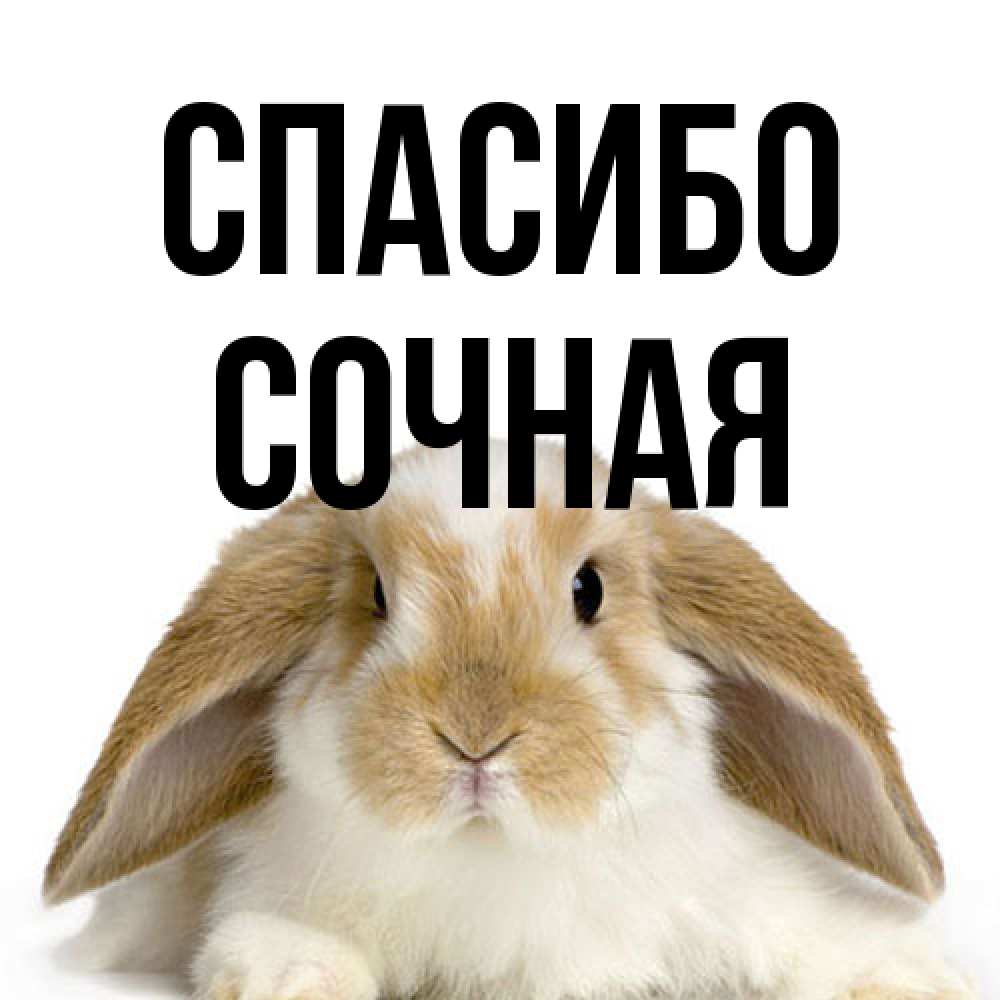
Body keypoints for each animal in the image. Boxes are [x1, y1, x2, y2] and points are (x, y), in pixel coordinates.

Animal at [45, 441, 975, 1000]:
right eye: (376, 596)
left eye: (589, 590)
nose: (475, 736)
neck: (495, 857)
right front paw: (289, 976)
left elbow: (816, 938)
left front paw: (908, 977)